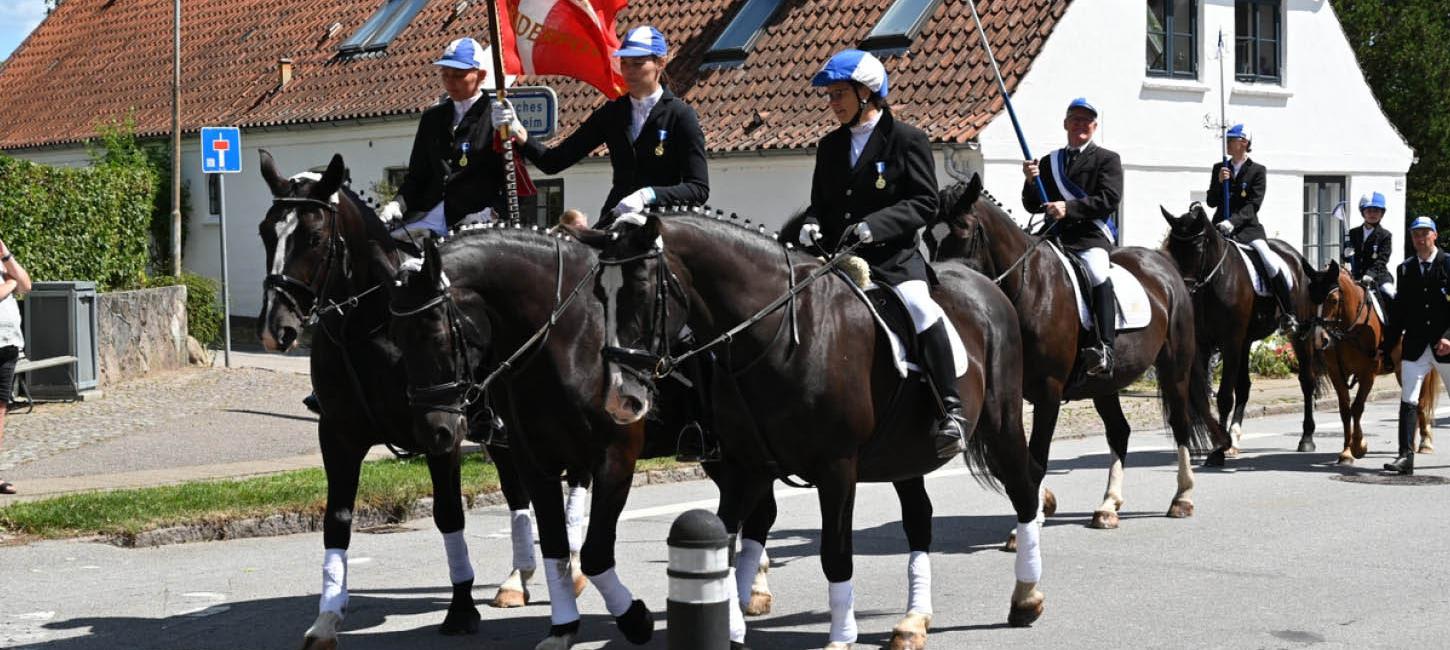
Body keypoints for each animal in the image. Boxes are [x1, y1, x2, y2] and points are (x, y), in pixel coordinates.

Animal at [252, 150, 542, 644]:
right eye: (265, 232)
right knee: (516, 490)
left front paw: (460, 609)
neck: (369, 328)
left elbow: (449, 514)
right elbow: (337, 521)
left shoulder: (441, 434)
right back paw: (516, 580)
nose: (277, 329)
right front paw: (327, 617)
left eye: (313, 236)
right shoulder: (338, 437)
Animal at [1160, 203, 1322, 452]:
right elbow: (1208, 396)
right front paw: (1219, 440)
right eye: (1171, 248)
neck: (1214, 281)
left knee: (1306, 380)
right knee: (1245, 386)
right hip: (1246, 342)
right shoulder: (1204, 344)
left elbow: (1224, 396)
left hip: (1298, 336)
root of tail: (1296, 257)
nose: (1181, 291)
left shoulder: (1230, 343)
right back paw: (1235, 435)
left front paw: (1219, 448)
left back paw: (1306, 438)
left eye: (1197, 248)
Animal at [1305, 258, 1438, 461]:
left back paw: (1425, 443)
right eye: (1311, 299)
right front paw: (1346, 451)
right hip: (1401, 370)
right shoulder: (1336, 373)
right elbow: (1345, 410)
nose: (1320, 339)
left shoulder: (1368, 373)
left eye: (1333, 300)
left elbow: (1357, 407)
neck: (1350, 329)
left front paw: (1358, 445)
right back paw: (1413, 444)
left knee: (1422, 401)